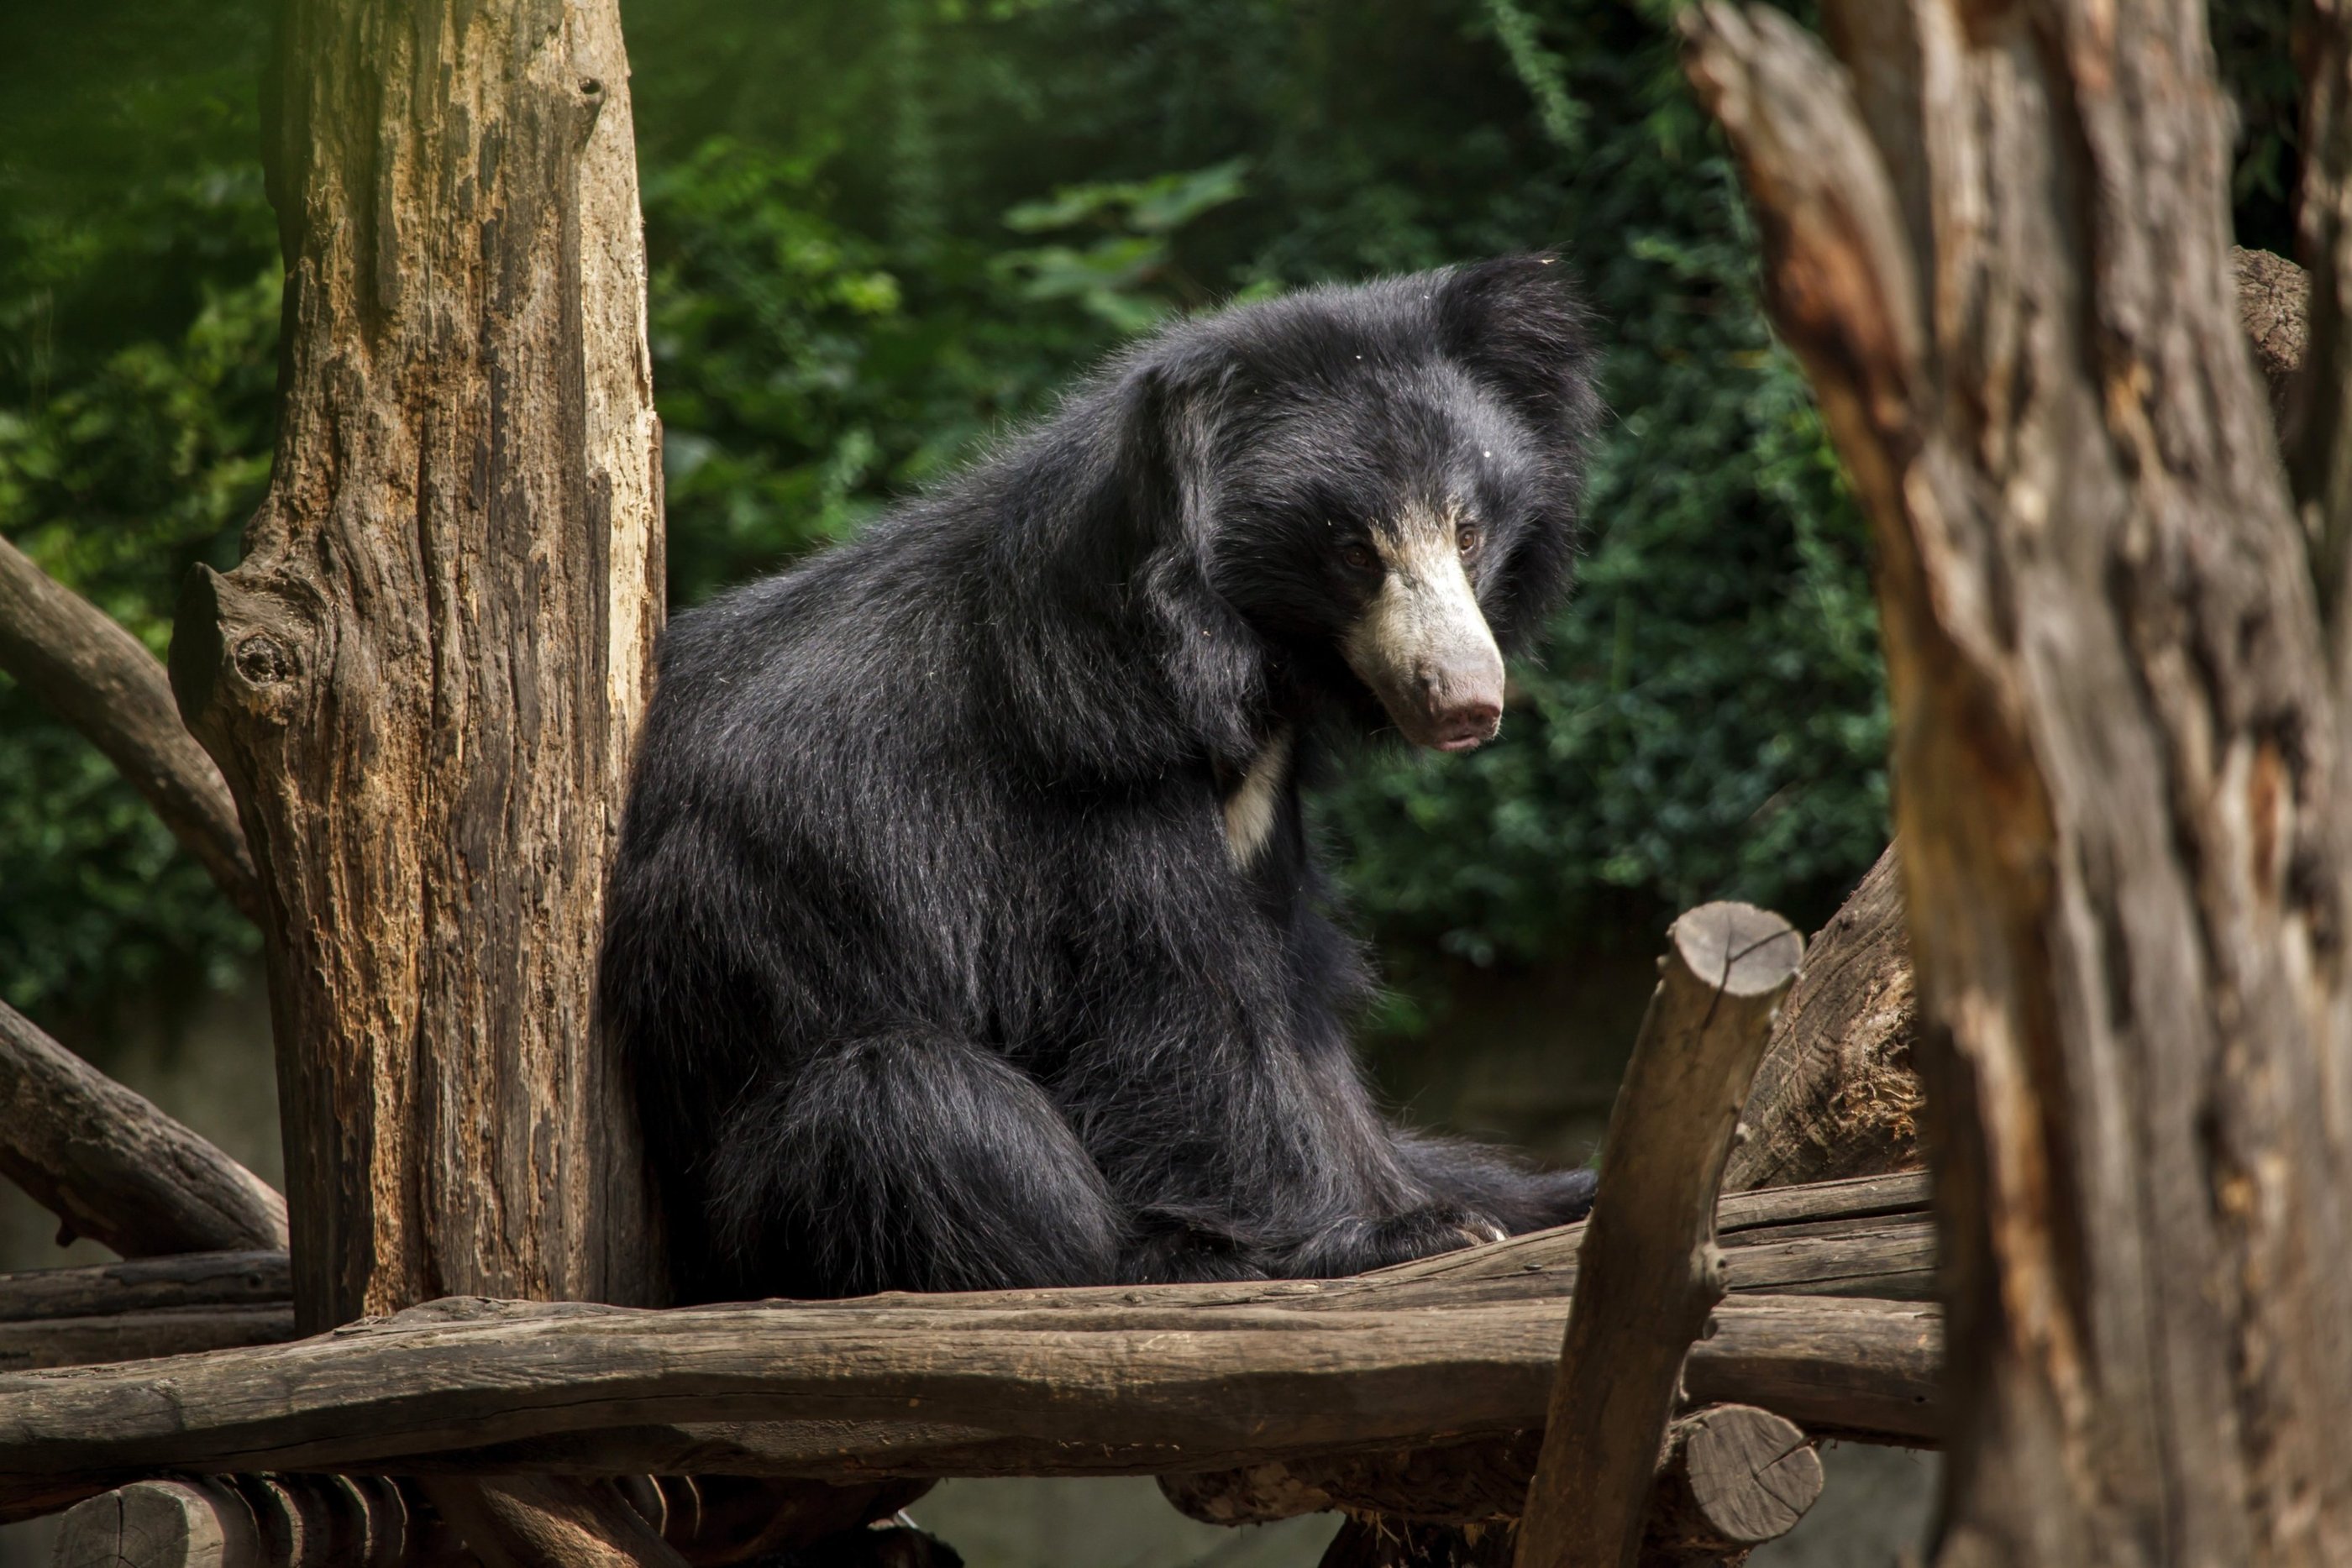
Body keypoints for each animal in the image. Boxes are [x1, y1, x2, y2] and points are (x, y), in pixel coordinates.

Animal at [600, 255, 1603, 1303]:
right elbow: (1180, 1016)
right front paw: (1403, 1229)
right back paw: (1158, 1252)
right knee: (904, 1102)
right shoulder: (1084, 787)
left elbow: (1297, 1013)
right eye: (1351, 549)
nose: (1466, 702)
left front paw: (1471, 1199)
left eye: (1466, 530)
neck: (1225, 668)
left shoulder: (1260, 816)